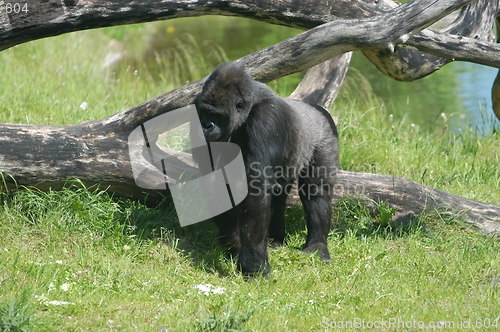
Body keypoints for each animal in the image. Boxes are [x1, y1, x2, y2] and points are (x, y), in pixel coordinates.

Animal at [193, 61, 338, 274]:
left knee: (316, 192)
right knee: (278, 196)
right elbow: (216, 181)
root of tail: (319, 109)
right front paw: (234, 246)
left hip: (325, 134)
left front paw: (253, 265)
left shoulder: (266, 119)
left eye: (216, 115)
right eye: (204, 112)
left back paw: (317, 246)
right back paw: (276, 239)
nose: (205, 126)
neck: (247, 111)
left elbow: (256, 189)